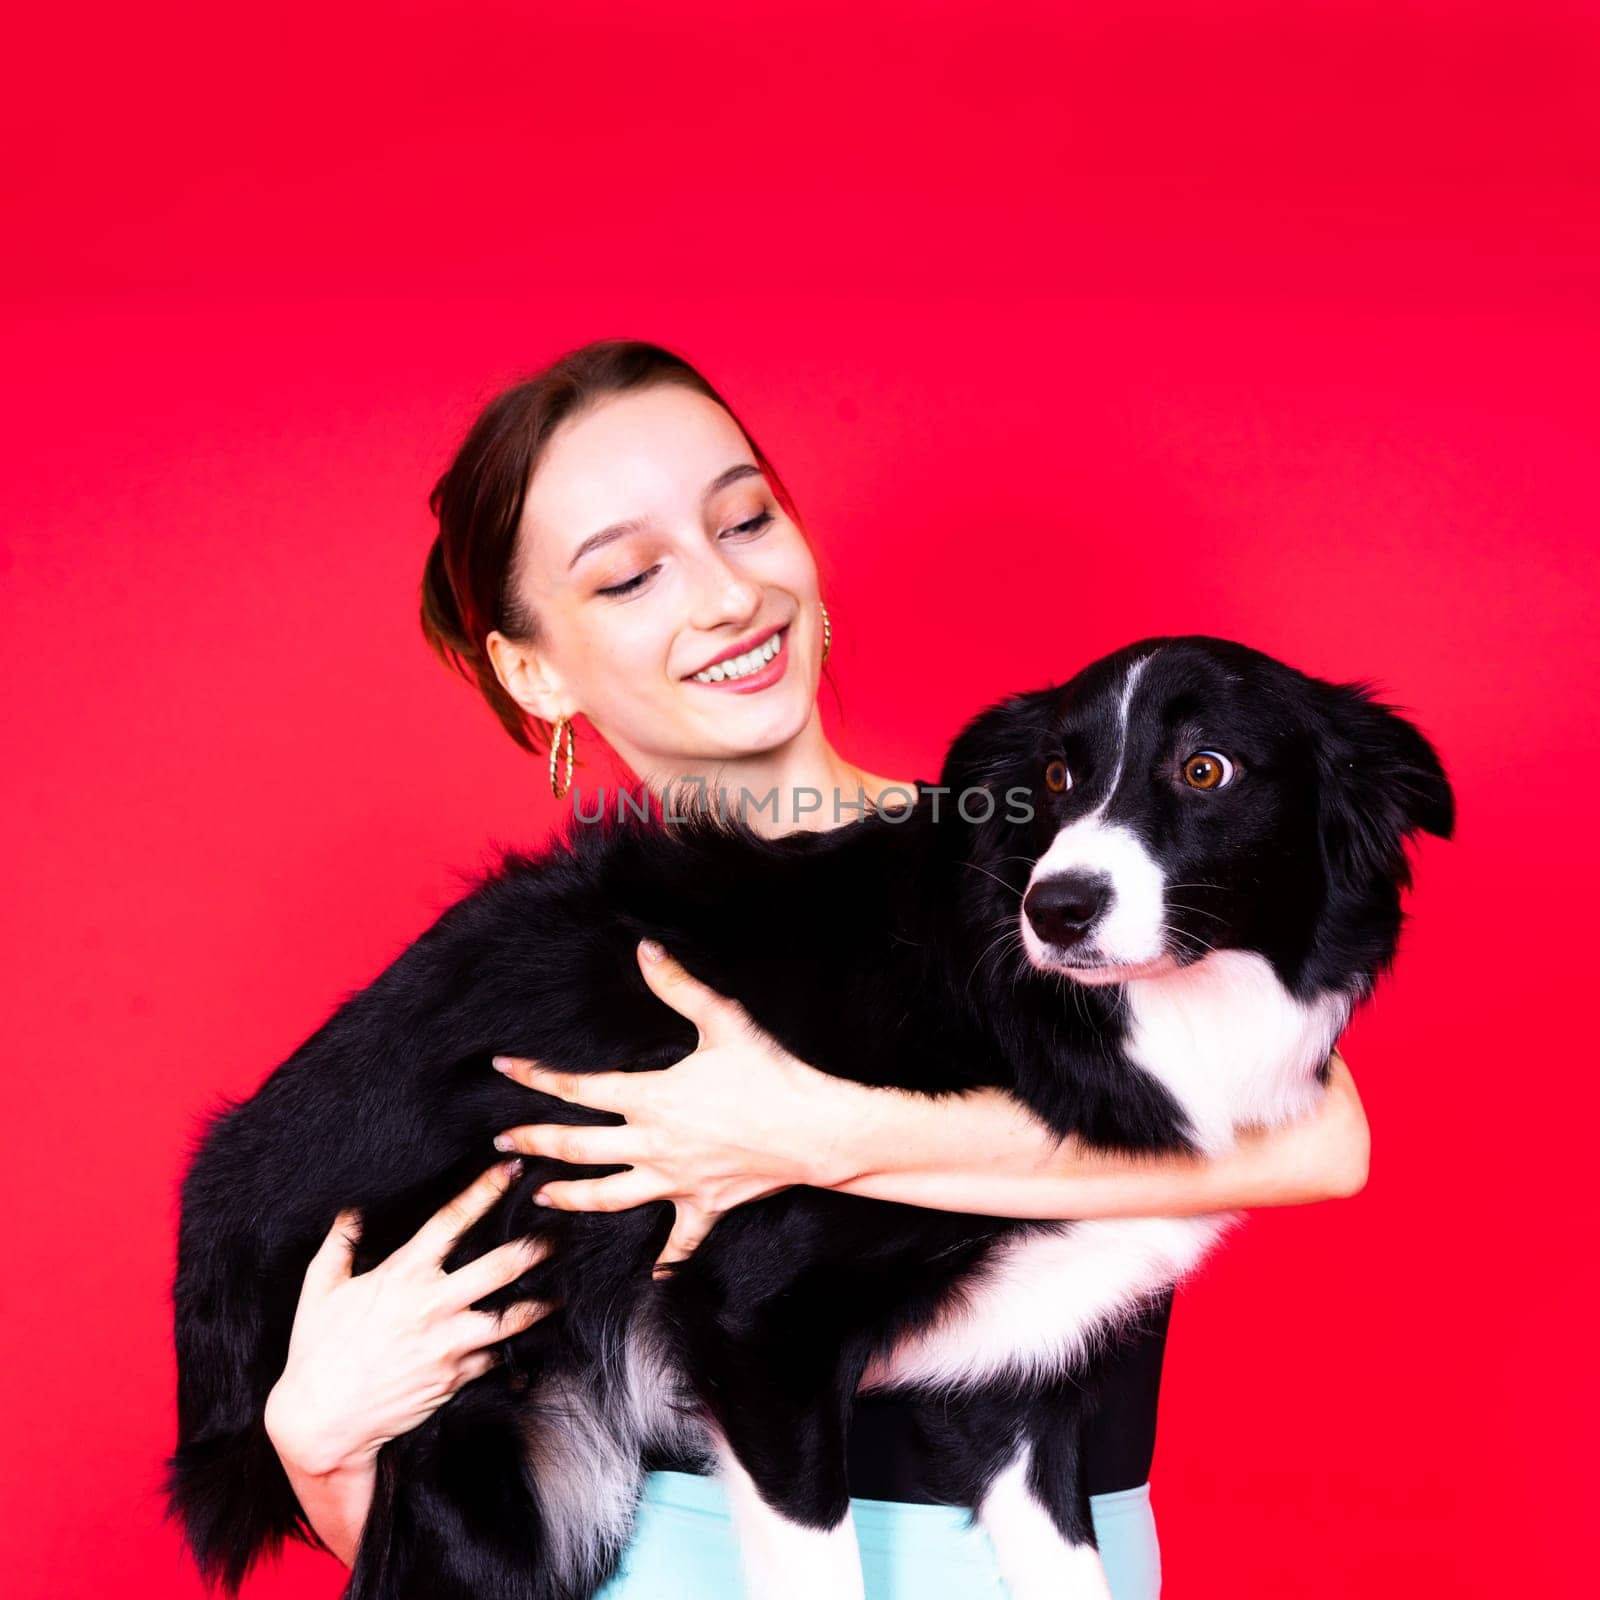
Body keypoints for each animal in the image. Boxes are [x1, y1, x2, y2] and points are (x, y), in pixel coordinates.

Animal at [168, 636, 1459, 1600]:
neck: (1060, 1018)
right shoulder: (756, 1328)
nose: (1056, 908)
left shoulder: (1015, 1382)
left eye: (1206, 771)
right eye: (1052, 781)